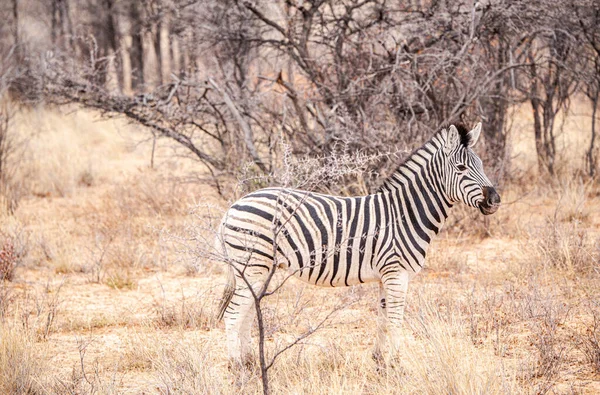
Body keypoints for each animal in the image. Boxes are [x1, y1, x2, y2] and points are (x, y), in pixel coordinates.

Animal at [216, 123, 502, 366]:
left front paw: (380, 361)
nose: (495, 199)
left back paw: (250, 361)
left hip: (258, 269)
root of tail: (233, 206)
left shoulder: (386, 276)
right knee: (233, 314)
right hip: (252, 264)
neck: (405, 214)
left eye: (481, 164)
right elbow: (396, 320)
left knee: (246, 313)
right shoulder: (397, 273)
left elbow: (382, 318)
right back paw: (237, 366)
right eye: (461, 168)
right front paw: (396, 364)